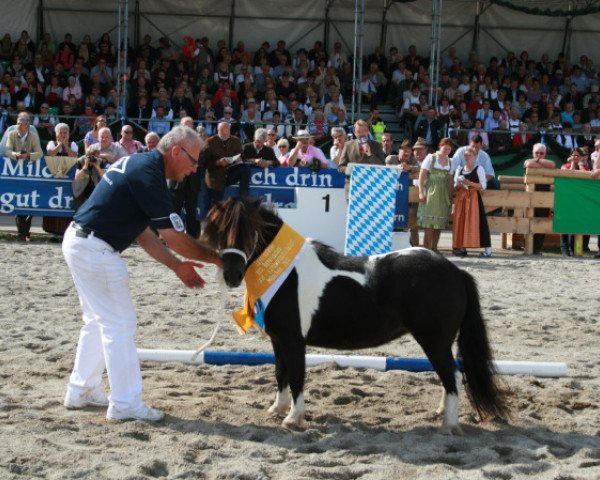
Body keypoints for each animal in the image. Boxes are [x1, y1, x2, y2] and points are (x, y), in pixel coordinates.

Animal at [204, 195, 508, 432]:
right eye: (218, 232)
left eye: (248, 231)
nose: (231, 275)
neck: (286, 273)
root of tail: (455, 272)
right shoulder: (278, 340)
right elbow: (281, 373)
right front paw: (277, 409)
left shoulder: (293, 340)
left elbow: (297, 376)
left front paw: (293, 418)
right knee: (449, 377)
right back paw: (440, 412)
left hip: (435, 341)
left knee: (452, 376)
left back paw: (449, 425)